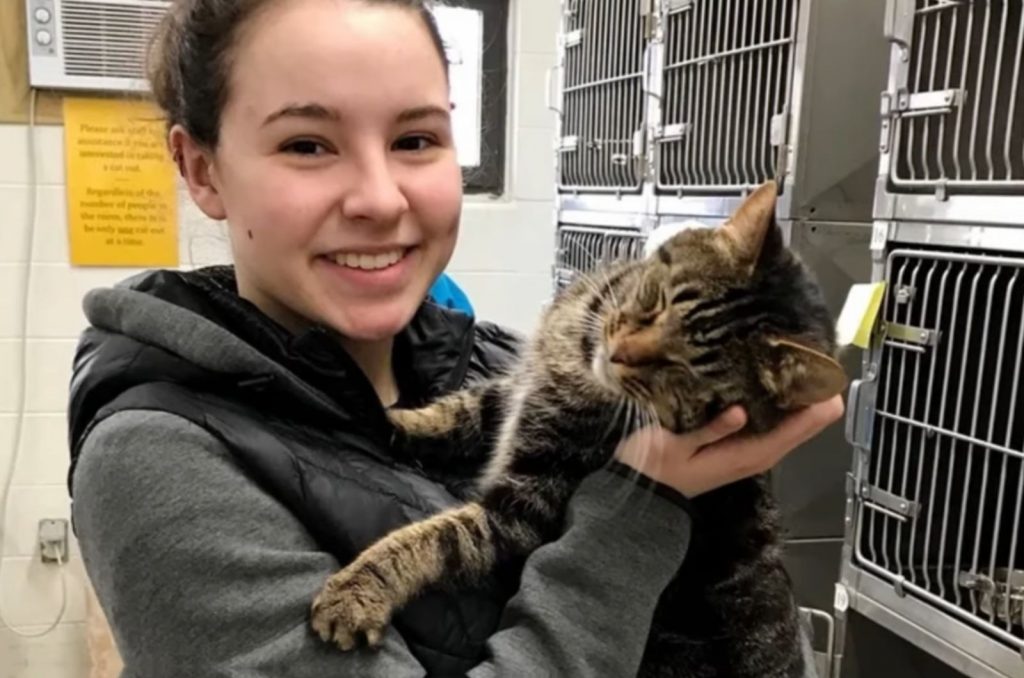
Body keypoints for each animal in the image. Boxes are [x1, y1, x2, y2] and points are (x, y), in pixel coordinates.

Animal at [309, 183, 847, 675]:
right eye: (657, 300)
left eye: (682, 370)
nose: (619, 353)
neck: (580, 350)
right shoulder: (516, 388)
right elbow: (458, 410)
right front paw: (384, 416)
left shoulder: (524, 510)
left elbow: (432, 540)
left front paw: (357, 592)